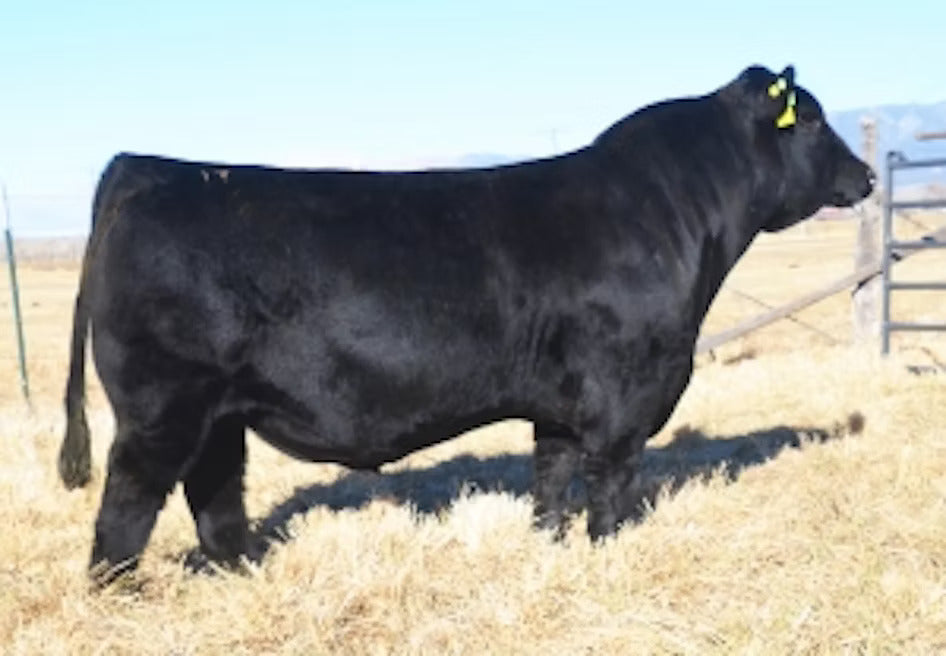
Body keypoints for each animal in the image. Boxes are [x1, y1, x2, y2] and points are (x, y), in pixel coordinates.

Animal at [59, 64, 873, 585]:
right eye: (815, 119)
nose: (866, 175)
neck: (675, 216)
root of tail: (150, 167)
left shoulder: (560, 405)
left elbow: (552, 479)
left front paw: (549, 545)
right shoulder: (625, 396)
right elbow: (610, 484)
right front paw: (609, 553)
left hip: (219, 411)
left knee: (216, 492)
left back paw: (246, 569)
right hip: (162, 405)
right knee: (128, 502)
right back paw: (119, 592)